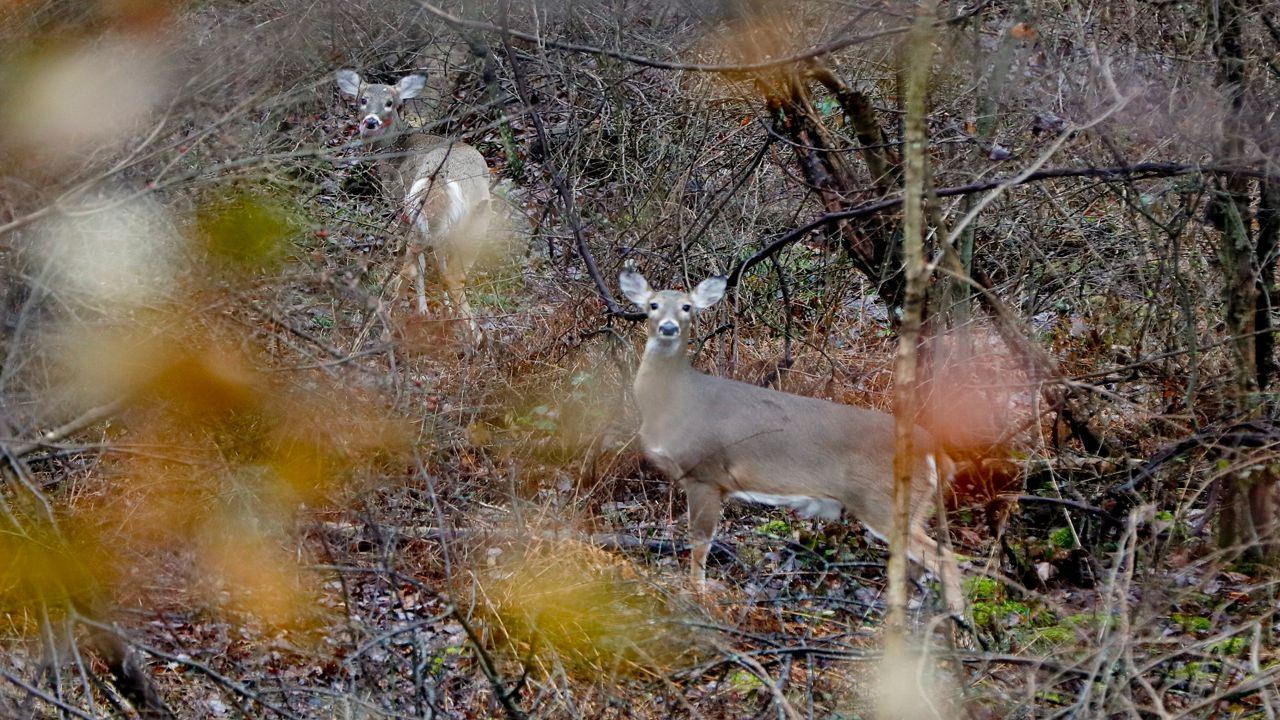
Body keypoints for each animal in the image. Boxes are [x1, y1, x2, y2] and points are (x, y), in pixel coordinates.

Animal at [335, 67, 494, 340]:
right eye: (363, 99)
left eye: (390, 103)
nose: (371, 122)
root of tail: (439, 180)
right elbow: (439, 263)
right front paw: (444, 307)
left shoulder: (397, 201)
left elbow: (421, 266)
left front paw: (425, 309)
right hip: (472, 218)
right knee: (452, 273)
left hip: (425, 213)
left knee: (415, 268)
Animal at [614, 269, 962, 617]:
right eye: (653, 304)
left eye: (687, 307)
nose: (668, 327)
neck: (674, 400)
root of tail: (935, 451)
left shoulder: (706, 474)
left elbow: (701, 542)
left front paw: (696, 594)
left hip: (885, 500)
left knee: (944, 559)